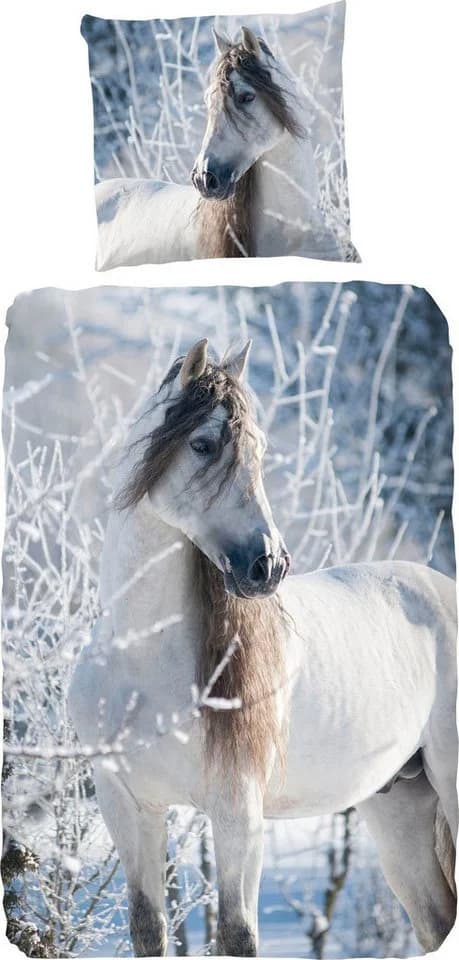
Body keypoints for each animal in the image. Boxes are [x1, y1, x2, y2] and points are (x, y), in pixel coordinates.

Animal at [69, 339, 458, 956]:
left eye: (261, 450)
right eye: (202, 444)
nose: (268, 564)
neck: (140, 658)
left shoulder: (236, 812)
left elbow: (236, 933)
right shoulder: (127, 807)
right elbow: (148, 927)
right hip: (399, 807)